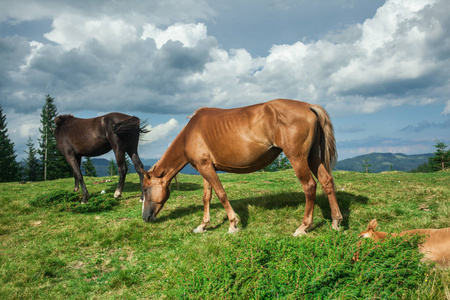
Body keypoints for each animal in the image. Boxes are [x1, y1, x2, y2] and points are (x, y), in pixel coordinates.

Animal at [140, 99, 342, 236]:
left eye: (145, 189)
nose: (145, 218)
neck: (189, 134)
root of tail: (308, 106)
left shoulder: (207, 168)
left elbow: (221, 194)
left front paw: (233, 224)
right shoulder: (205, 168)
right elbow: (207, 197)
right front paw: (203, 225)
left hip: (298, 158)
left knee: (309, 186)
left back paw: (303, 227)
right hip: (312, 157)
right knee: (326, 181)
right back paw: (336, 221)